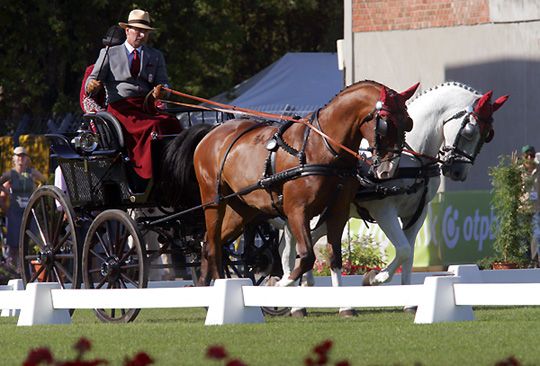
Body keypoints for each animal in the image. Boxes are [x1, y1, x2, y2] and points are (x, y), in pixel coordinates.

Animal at [184, 80, 420, 286]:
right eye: (386, 125)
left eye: (408, 124)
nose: (388, 170)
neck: (323, 148)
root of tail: (213, 131)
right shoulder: (297, 210)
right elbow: (306, 255)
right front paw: (282, 283)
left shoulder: (338, 211)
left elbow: (335, 258)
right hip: (213, 201)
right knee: (213, 245)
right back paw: (219, 285)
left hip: (241, 210)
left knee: (209, 242)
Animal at [278, 82, 510, 314]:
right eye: (470, 131)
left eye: (488, 134)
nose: (458, 172)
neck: (413, 161)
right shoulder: (383, 211)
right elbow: (403, 250)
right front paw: (375, 277)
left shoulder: (416, 214)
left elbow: (409, 256)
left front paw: (410, 303)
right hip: (304, 215)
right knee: (289, 252)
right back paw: (294, 303)